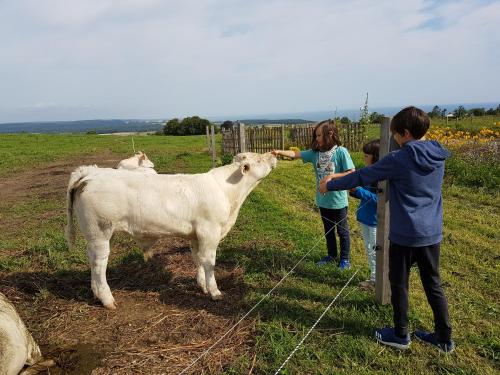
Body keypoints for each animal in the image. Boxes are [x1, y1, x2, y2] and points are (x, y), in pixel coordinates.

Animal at [65, 151, 278, 310]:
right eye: (259, 159)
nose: (274, 153)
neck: (228, 193)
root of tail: (91, 173)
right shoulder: (210, 231)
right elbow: (209, 262)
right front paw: (215, 292)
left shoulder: (196, 235)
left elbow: (198, 259)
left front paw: (202, 286)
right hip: (100, 232)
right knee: (99, 265)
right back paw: (107, 299)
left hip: (94, 236)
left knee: (92, 262)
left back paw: (96, 293)